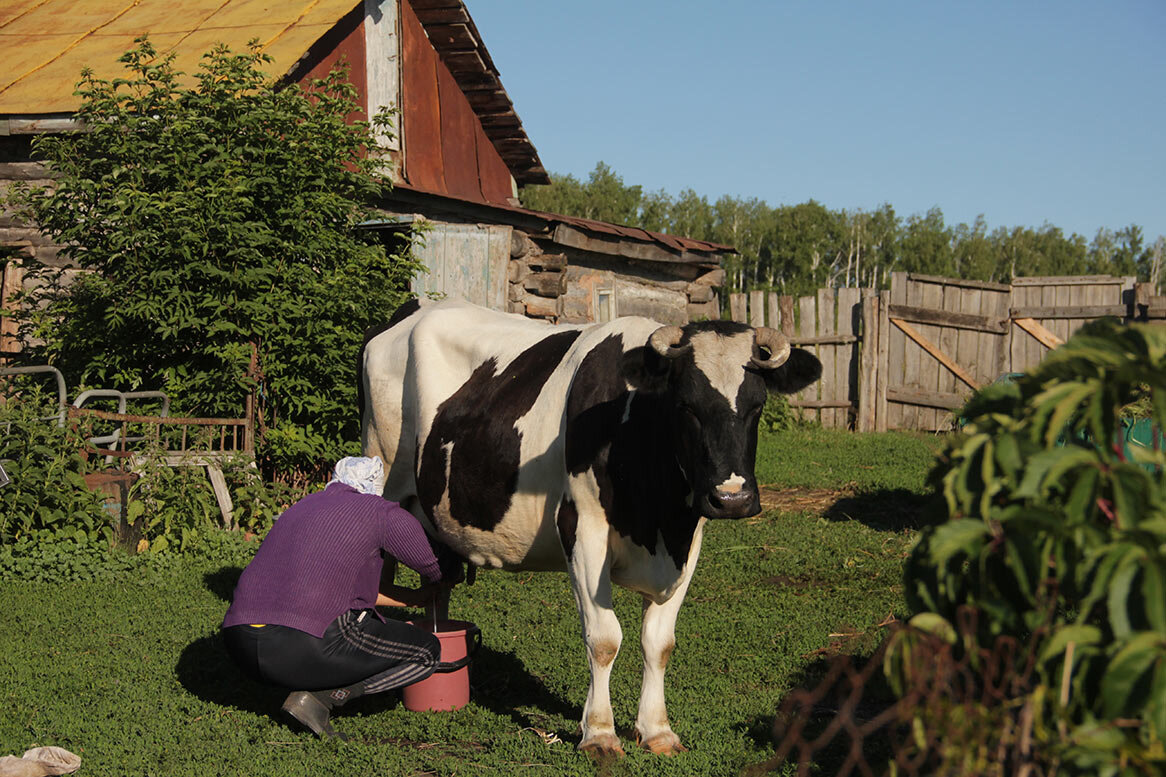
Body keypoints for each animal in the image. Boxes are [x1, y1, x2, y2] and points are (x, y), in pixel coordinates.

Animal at [359, 295, 825, 751]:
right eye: (686, 406)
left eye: (757, 406)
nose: (732, 498)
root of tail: (412, 309)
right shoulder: (582, 529)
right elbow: (604, 638)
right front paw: (599, 732)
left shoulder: (687, 540)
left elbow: (659, 642)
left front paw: (657, 730)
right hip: (379, 474)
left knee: (437, 591)